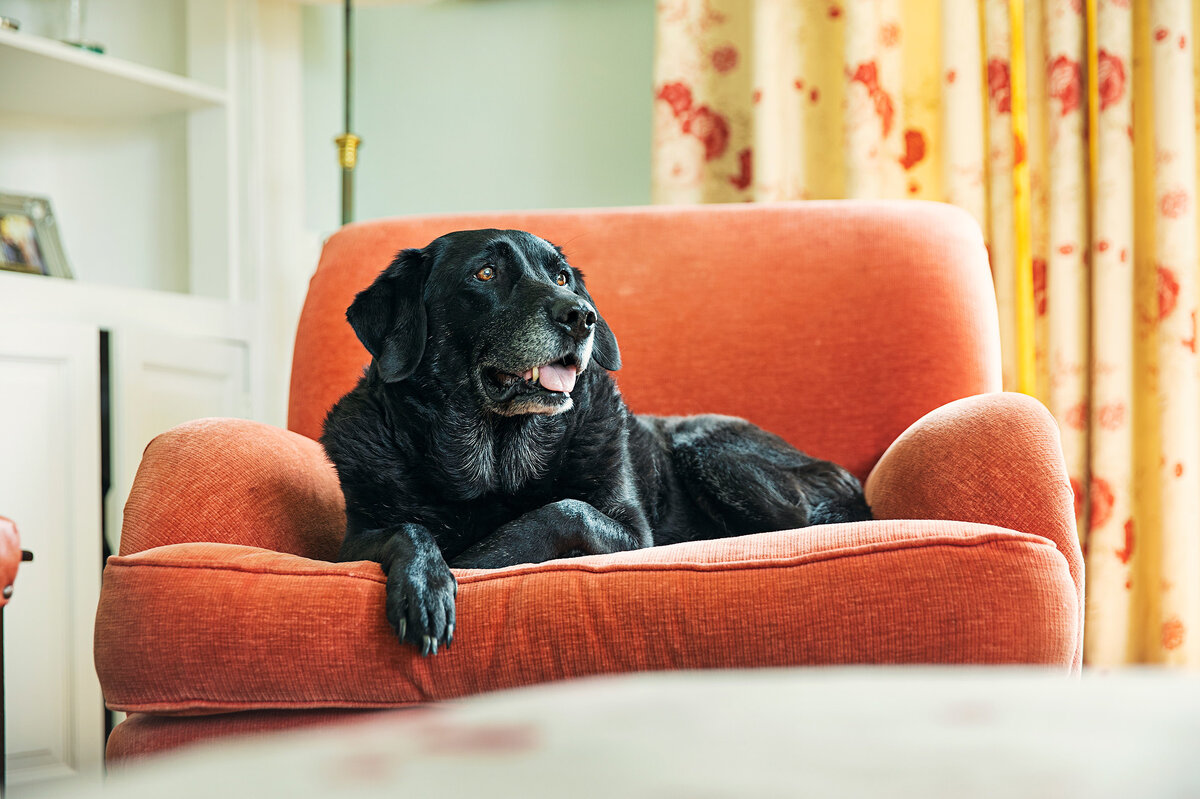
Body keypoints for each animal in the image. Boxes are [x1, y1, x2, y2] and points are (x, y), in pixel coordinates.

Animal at [324, 229, 868, 652]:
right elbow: (408, 529)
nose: (581, 315)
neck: (495, 465)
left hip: (711, 451)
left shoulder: (633, 534)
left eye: (562, 277)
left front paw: (472, 560)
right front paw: (427, 581)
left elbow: (565, 510)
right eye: (486, 274)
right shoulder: (347, 545)